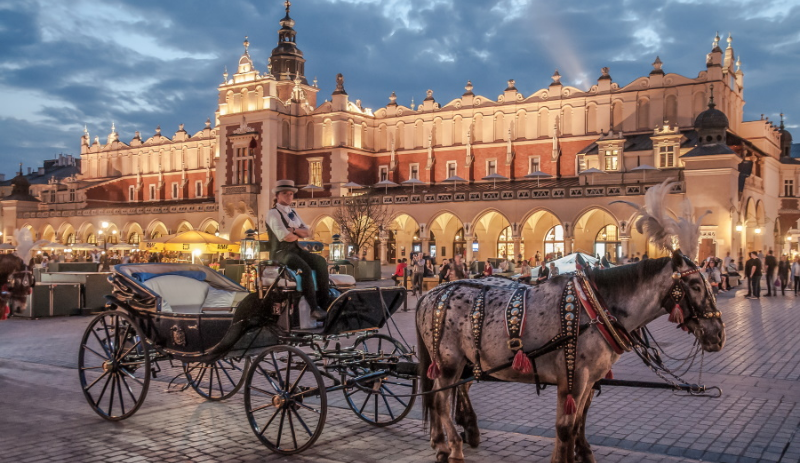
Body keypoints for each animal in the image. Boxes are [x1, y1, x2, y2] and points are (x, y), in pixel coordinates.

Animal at [418, 254, 724, 463]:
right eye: (695, 285)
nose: (718, 334)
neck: (597, 310)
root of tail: (433, 292)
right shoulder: (573, 376)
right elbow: (565, 427)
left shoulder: (590, 378)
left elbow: (579, 422)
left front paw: (582, 453)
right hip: (449, 363)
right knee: (440, 400)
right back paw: (453, 447)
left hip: (467, 363)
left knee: (443, 395)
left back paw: (445, 441)